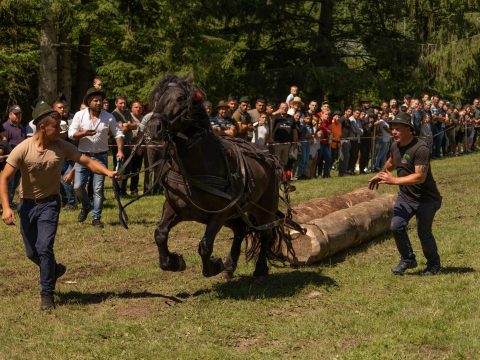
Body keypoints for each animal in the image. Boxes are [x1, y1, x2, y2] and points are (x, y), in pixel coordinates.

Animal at [146, 74, 302, 278]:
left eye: (180, 98)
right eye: (156, 98)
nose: (153, 127)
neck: (195, 168)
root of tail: (269, 158)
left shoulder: (219, 214)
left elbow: (205, 246)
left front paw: (213, 266)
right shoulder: (174, 208)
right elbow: (160, 234)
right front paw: (172, 261)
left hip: (263, 209)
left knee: (264, 234)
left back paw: (259, 268)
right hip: (235, 214)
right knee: (240, 230)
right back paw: (230, 266)